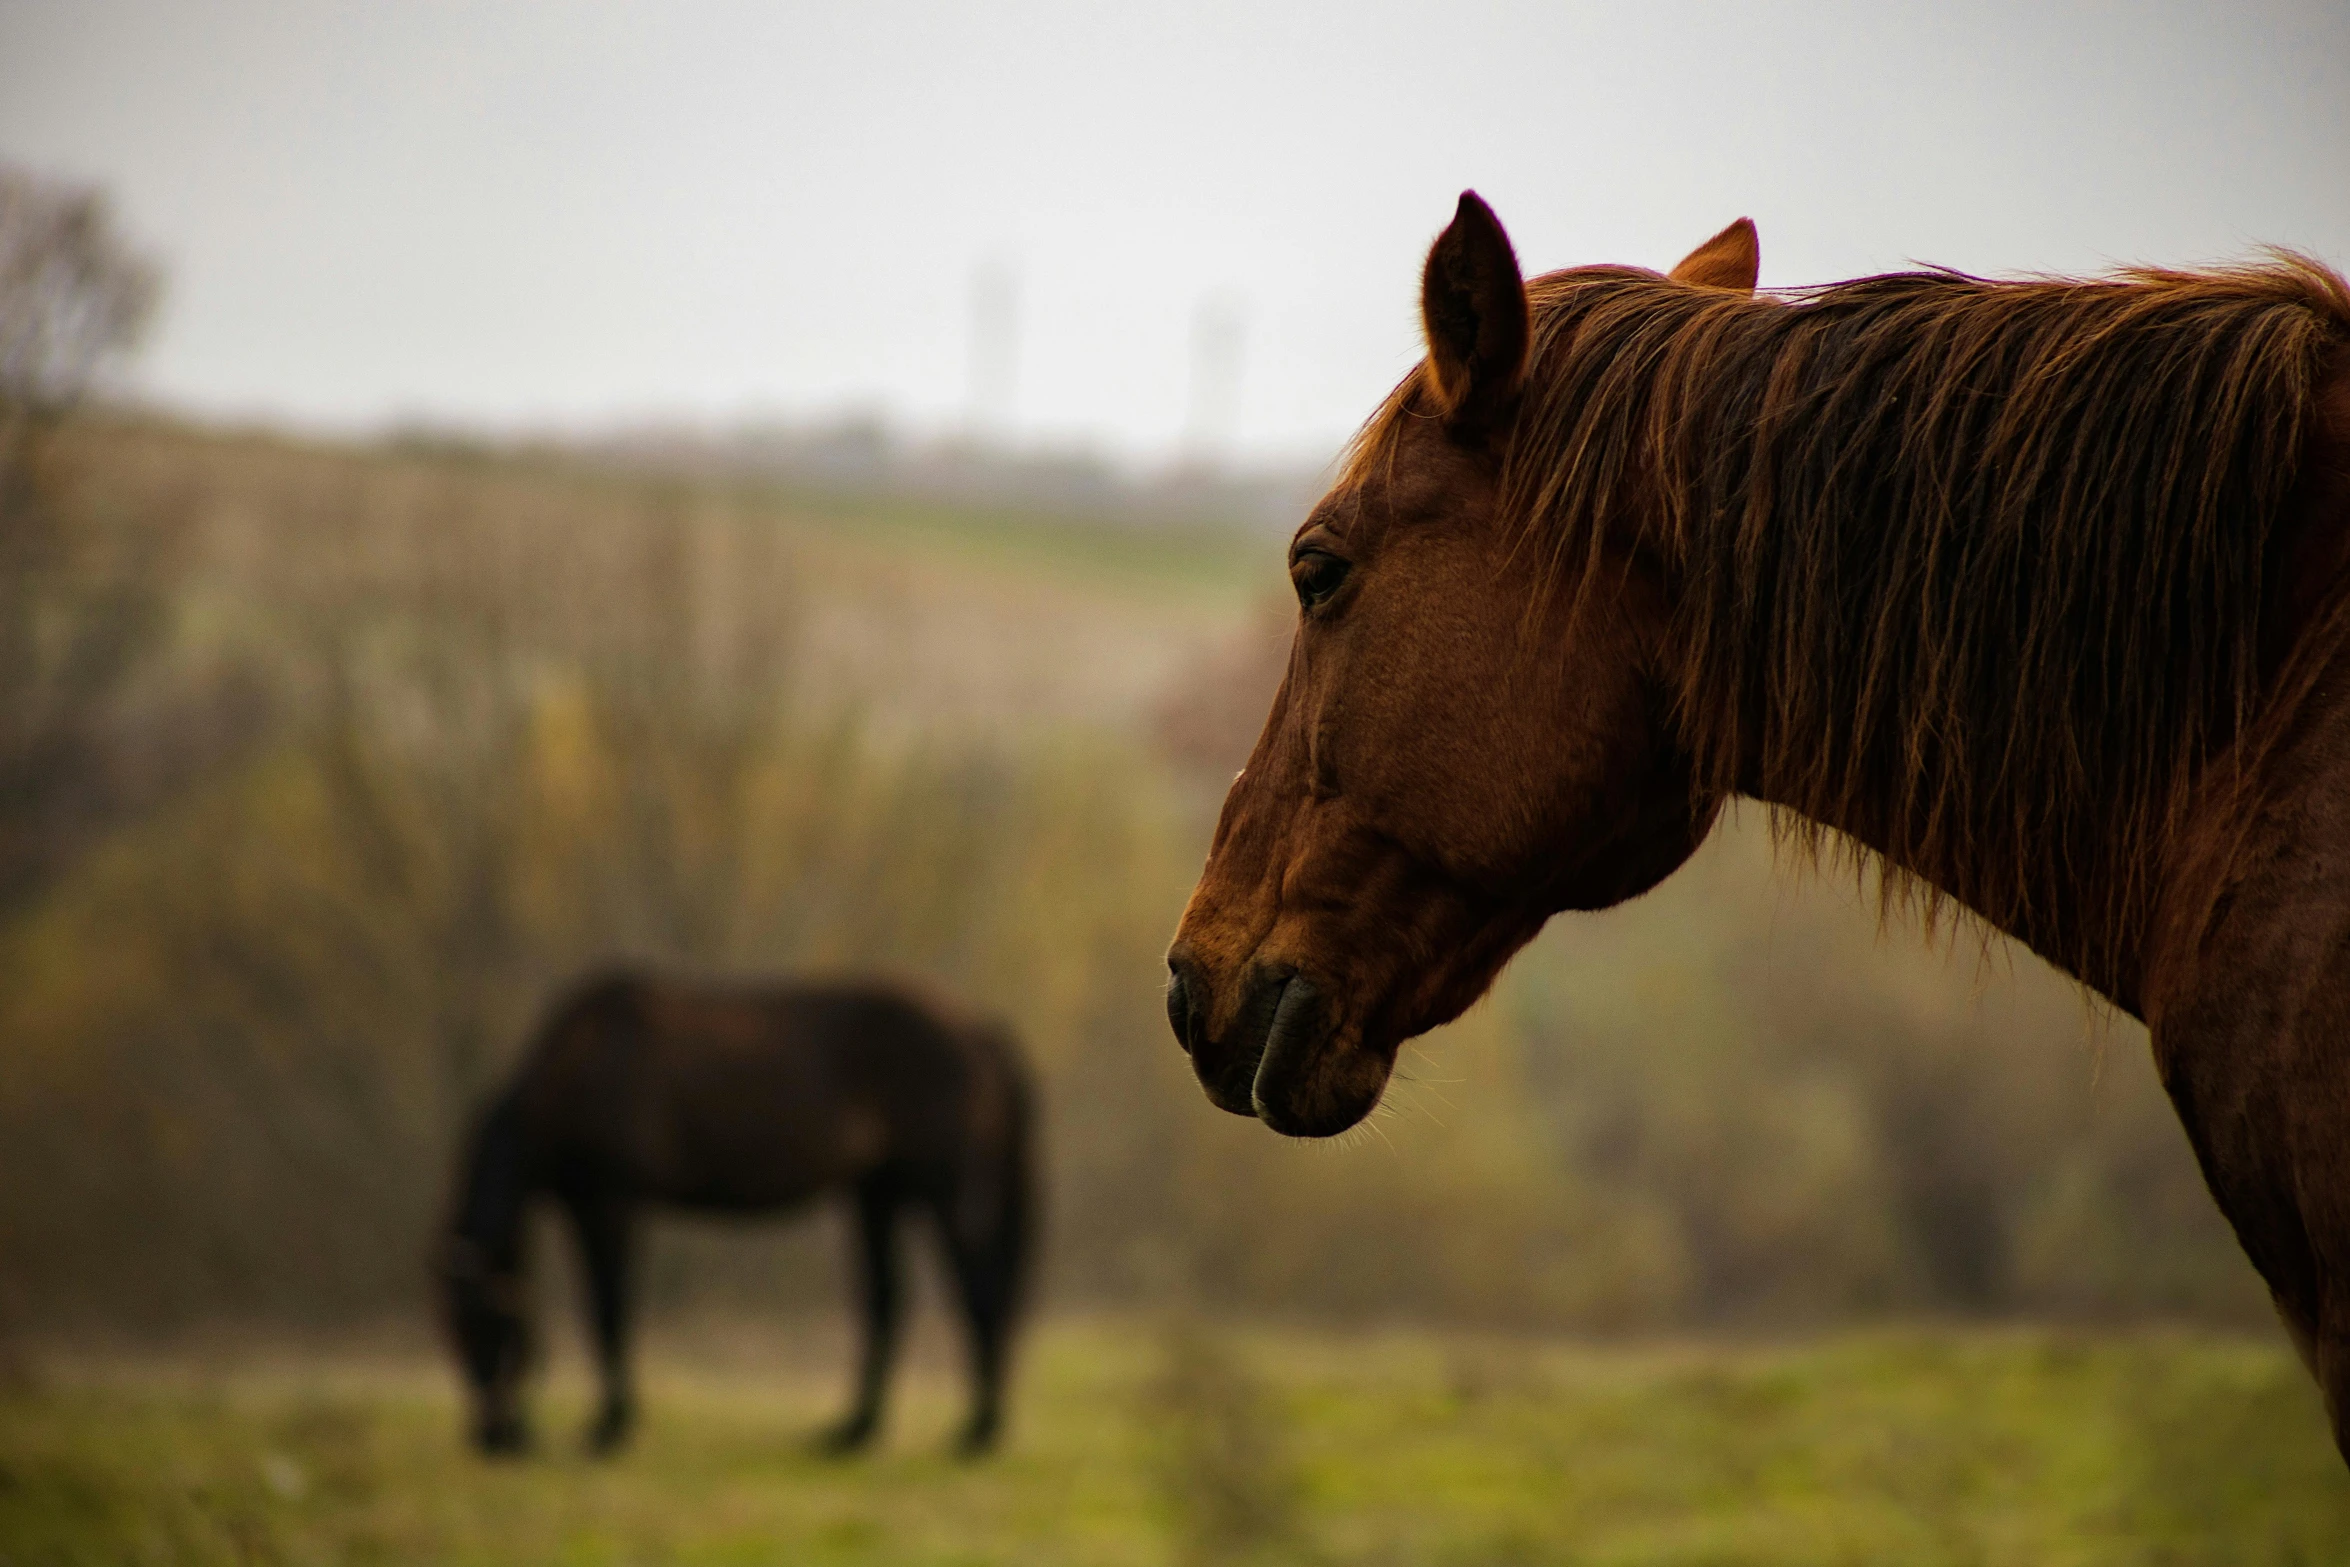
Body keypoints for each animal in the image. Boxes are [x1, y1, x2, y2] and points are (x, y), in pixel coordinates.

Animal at [441, 972, 1029, 1465]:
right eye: (453, 1334)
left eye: (486, 1328)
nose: (495, 1440)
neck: (576, 1068)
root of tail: (979, 1027)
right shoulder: (580, 1203)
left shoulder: (610, 1201)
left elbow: (609, 1311)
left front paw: (609, 1430)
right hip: (879, 1193)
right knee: (887, 1302)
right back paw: (854, 1432)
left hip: (943, 1189)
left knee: (979, 1293)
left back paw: (977, 1434)